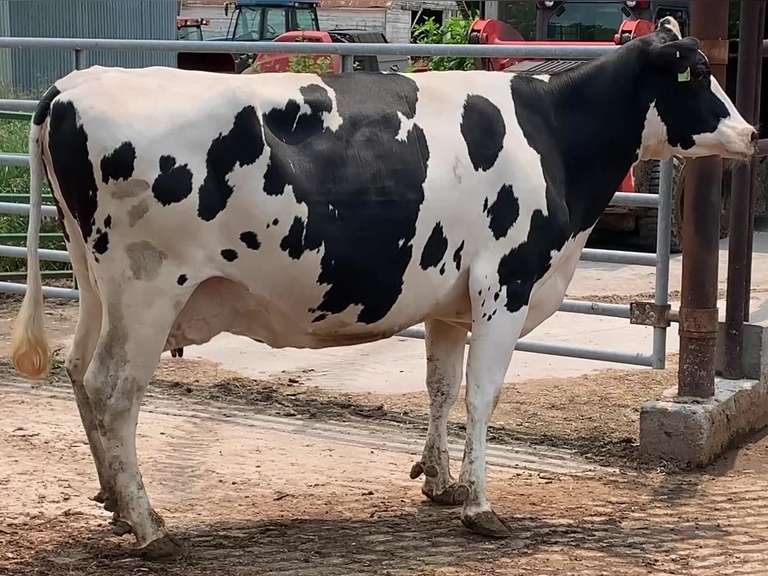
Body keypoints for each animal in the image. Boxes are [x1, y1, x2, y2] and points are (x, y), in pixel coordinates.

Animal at [11, 17, 755, 557]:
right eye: (697, 75)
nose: (753, 134)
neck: (553, 133)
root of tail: (73, 86)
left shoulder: (450, 303)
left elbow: (439, 386)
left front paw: (441, 482)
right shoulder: (505, 284)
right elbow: (481, 395)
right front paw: (482, 506)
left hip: (94, 280)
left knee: (78, 370)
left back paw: (114, 504)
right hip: (148, 286)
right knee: (113, 387)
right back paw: (148, 525)